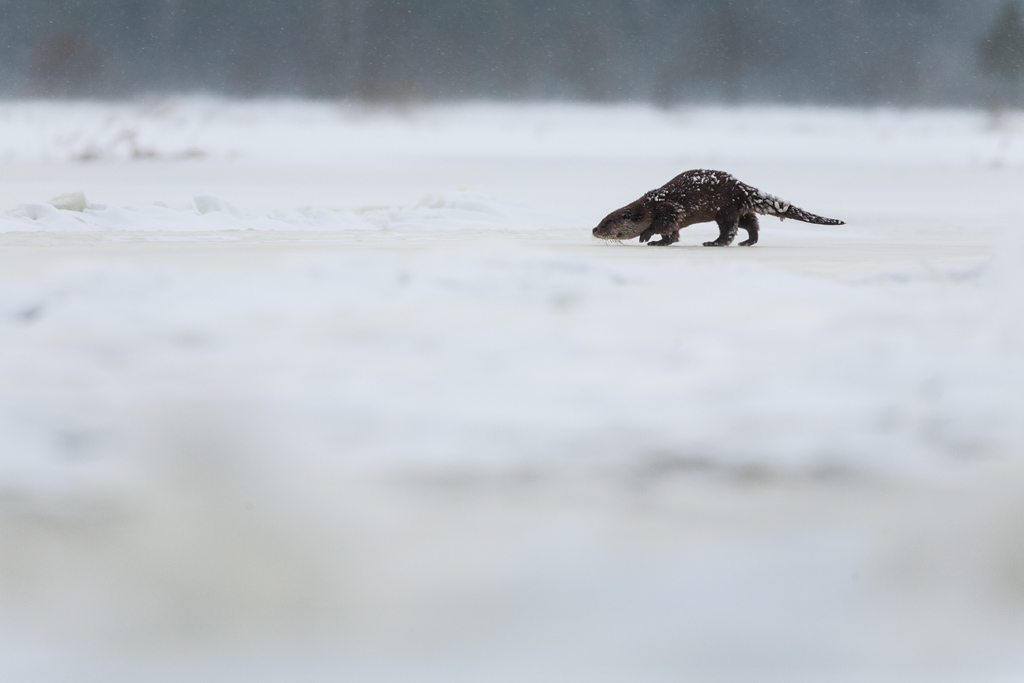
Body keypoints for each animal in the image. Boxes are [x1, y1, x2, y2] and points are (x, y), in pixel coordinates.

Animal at [592, 169, 844, 246]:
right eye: (602, 220)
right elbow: (672, 234)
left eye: (607, 222)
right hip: (738, 209)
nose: (594, 230)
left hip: (725, 210)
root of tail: (742, 186)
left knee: (729, 229)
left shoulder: (669, 209)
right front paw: (661, 241)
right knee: (751, 223)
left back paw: (714, 242)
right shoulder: (671, 217)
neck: (650, 206)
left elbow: (663, 224)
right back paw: (748, 242)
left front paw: (647, 236)